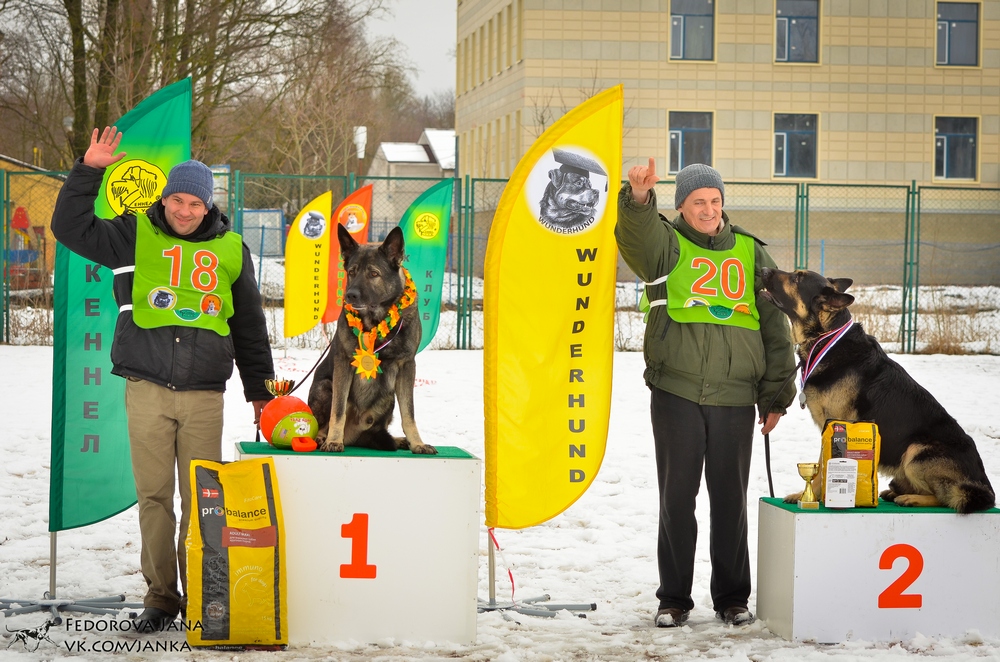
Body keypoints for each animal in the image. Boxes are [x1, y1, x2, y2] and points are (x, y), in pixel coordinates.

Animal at [306, 227, 436, 456]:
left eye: (373, 274)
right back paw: (324, 438)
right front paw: (333, 440)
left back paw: (398, 440)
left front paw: (417, 443)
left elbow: (409, 413)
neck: (376, 320)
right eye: (352, 272)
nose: (350, 295)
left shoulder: (407, 367)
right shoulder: (343, 364)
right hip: (325, 386)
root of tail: (353, 436)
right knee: (322, 424)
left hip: (389, 396)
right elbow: (338, 410)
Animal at [764, 268, 992, 516]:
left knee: (948, 498)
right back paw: (895, 493)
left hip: (915, 451)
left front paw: (812, 495)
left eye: (797, 278)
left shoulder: (835, 426)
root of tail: (985, 489)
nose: (763, 270)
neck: (826, 338)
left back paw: (912, 498)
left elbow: (823, 467)